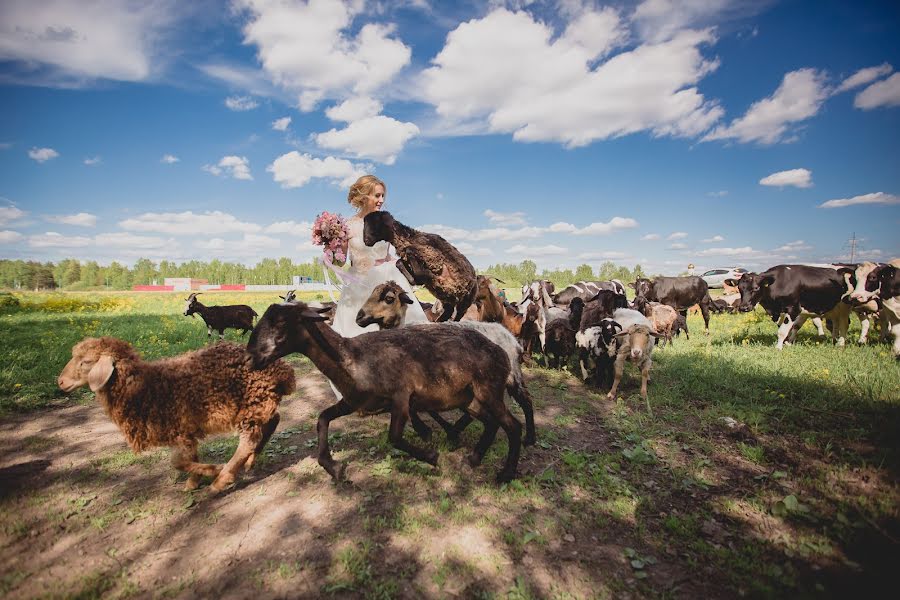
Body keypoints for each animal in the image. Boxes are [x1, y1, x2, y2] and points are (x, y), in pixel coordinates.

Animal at [57, 336, 296, 494]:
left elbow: (177, 462)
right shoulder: (186, 430)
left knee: (248, 441)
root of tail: (283, 371)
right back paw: (250, 461)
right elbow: (188, 459)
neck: (145, 387)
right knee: (272, 421)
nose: (60, 382)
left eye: (86, 362)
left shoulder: (180, 428)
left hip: (249, 404)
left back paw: (221, 479)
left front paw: (211, 470)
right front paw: (193, 482)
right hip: (257, 404)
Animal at [250, 302, 524, 486]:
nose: (251, 356)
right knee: (491, 423)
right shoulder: (355, 402)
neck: (351, 358)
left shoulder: (401, 398)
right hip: (470, 399)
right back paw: (474, 459)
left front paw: (432, 456)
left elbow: (393, 437)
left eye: (281, 323)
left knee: (513, 426)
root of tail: (504, 349)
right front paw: (333, 468)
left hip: (489, 391)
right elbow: (322, 418)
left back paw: (505, 474)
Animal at [354, 282, 536, 446]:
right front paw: (437, 431)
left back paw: (529, 438)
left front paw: (427, 431)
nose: (359, 318)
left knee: (525, 400)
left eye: (389, 298)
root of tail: (510, 337)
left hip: (505, 375)